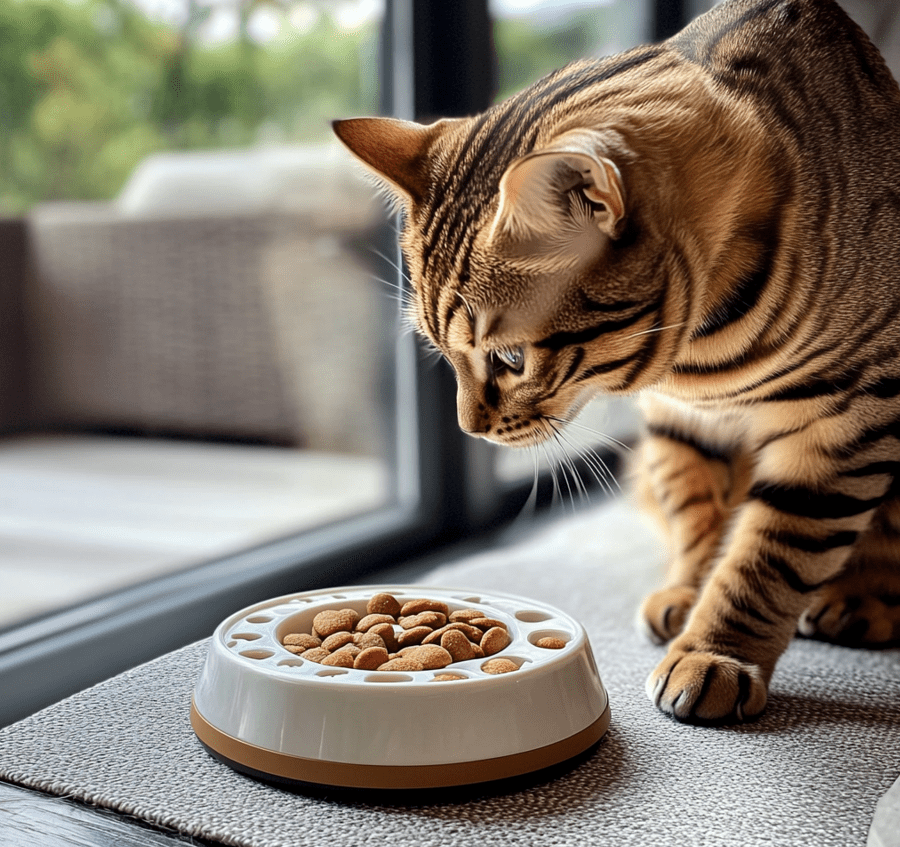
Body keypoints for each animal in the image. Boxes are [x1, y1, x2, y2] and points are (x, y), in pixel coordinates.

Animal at [334, 0, 900, 724]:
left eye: (509, 356)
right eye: (439, 351)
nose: (469, 430)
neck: (696, 360)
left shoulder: (842, 424)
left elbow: (769, 558)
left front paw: (715, 652)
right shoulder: (677, 424)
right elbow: (700, 517)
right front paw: (688, 592)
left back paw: (864, 598)